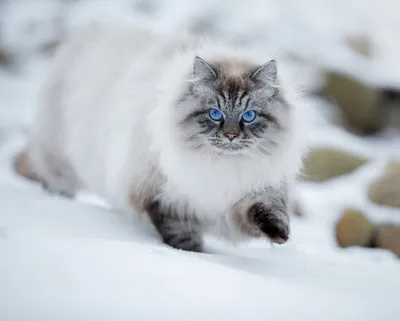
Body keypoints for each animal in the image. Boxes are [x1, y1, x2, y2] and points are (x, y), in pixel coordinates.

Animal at [14, 23, 310, 251]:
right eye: (215, 113)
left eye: (248, 116)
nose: (230, 136)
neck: (221, 167)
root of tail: (88, 33)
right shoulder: (164, 199)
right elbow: (181, 234)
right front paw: (192, 255)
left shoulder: (250, 192)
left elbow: (266, 212)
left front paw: (279, 234)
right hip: (59, 162)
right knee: (55, 182)